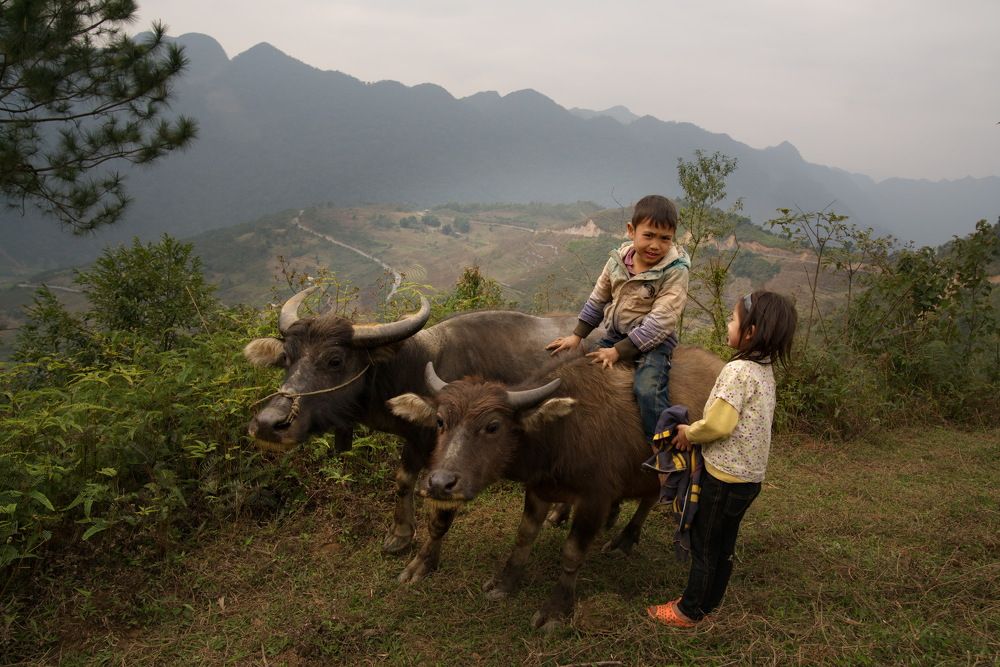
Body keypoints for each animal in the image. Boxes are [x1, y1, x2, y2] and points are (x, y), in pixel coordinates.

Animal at [243, 286, 595, 553]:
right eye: (287, 357)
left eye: (335, 360)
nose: (269, 424)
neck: (418, 366)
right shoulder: (415, 438)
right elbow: (403, 479)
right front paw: (400, 535)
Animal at [387, 347, 723, 630]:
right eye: (440, 421)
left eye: (493, 426)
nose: (440, 483)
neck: (560, 433)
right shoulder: (539, 489)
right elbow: (524, 537)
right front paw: (505, 583)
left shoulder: (594, 499)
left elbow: (572, 554)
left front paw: (556, 610)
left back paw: (624, 540)